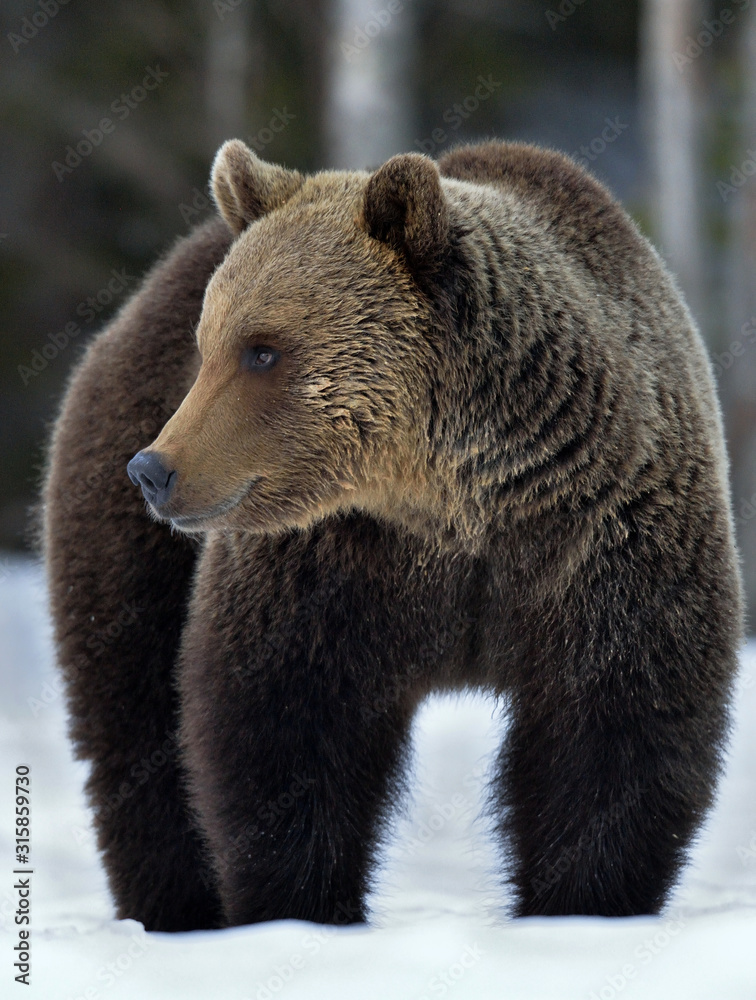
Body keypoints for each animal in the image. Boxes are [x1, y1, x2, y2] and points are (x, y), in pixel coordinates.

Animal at [42, 138, 744, 933]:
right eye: (209, 344)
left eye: (263, 349)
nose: (155, 470)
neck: (451, 502)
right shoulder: (329, 566)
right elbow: (283, 728)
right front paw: (300, 908)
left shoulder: (603, 539)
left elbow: (614, 729)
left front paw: (581, 908)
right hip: (125, 510)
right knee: (131, 713)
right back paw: (176, 906)